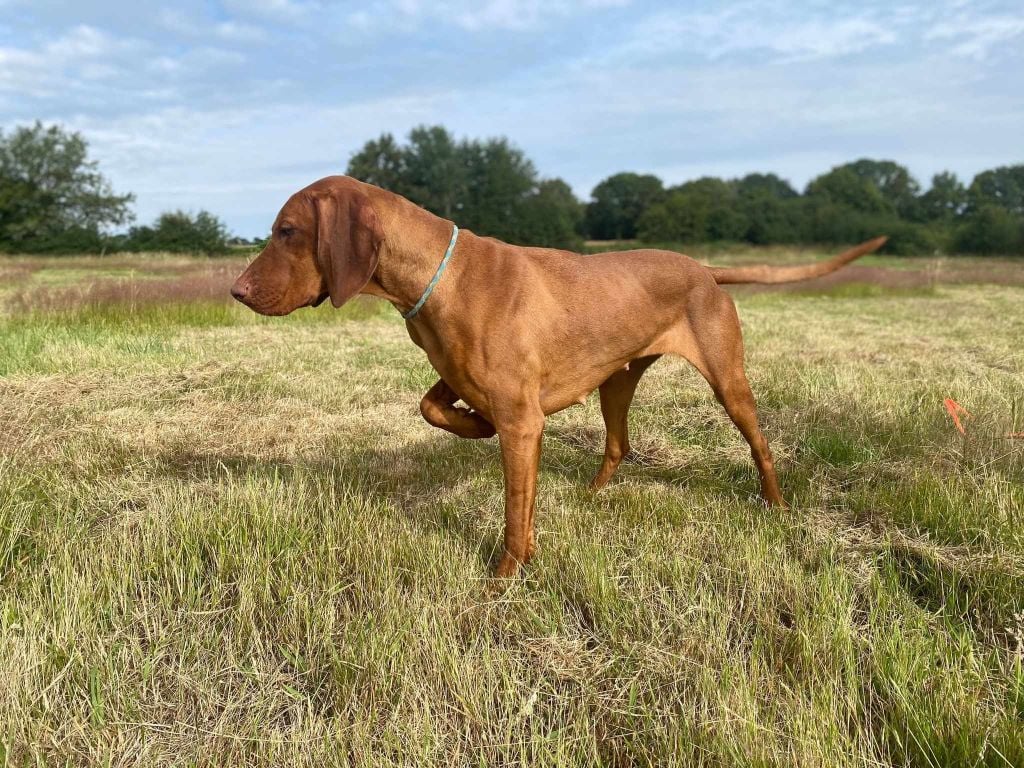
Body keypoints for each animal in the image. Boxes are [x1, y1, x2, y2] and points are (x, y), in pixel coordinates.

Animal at [230, 176, 880, 577]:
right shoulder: (464, 381)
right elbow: (431, 406)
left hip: (728, 380)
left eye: (287, 231)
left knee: (760, 444)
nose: (235, 290)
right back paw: (591, 497)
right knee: (618, 444)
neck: (438, 277)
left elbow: (516, 511)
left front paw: (506, 575)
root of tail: (704, 269)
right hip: (616, 381)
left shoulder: (524, 423)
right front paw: (473, 425)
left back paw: (775, 506)